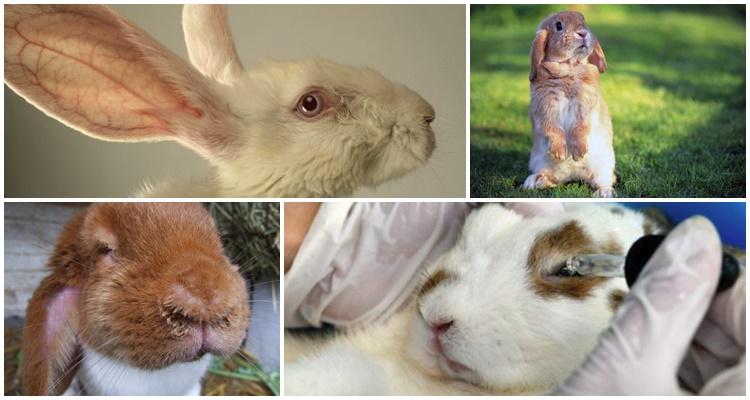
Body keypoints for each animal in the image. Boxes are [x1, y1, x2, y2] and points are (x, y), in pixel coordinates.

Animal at [524, 11, 616, 198]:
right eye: (559, 26)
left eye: (583, 21)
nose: (583, 33)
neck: (568, 67)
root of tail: (573, 176)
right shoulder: (545, 109)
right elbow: (553, 129)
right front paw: (560, 153)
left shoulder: (585, 105)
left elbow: (580, 127)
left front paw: (579, 153)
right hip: (539, 163)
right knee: (552, 179)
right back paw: (533, 182)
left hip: (604, 168)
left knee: (606, 181)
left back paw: (603, 193)